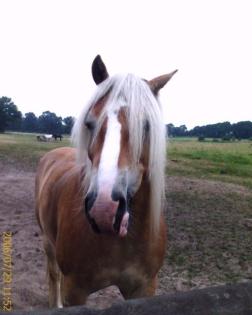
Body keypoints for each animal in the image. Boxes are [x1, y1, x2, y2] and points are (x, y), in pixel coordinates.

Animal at [35, 55, 177, 308]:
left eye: (146, 125)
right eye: (90, 123)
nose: (104, 209)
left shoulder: (144, 288)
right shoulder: (75, 291)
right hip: (48, 244)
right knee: (53, 275)